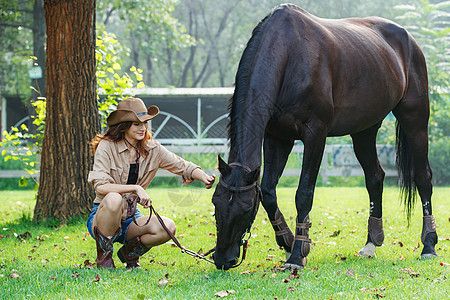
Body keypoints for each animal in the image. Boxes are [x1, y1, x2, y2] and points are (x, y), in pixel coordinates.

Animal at [213, 2, 438, 270]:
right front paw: (288, 241)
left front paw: (297, 254)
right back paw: (371, 243)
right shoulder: (277, 137)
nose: (222, 259)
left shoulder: (315, 135)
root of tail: (409, 41)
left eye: (246, 209)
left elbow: (304, 193)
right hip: (364, 130)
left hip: (415, 119)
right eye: (215, 203)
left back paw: (429, 245)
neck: (289, 55)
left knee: (423, 177)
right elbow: (267, 191)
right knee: (375, 177)